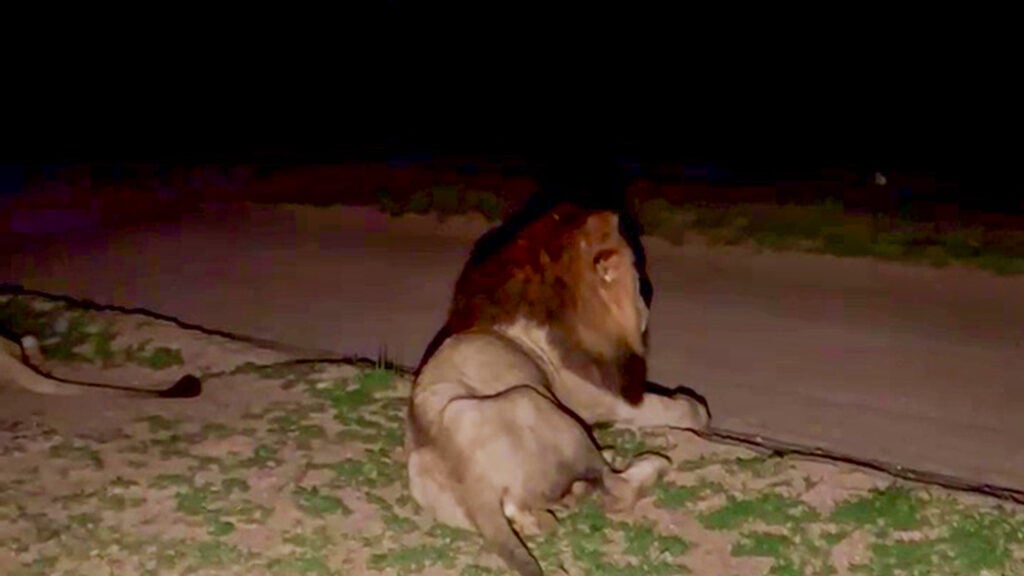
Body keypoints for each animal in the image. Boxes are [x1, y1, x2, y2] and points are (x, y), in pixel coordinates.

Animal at [407, 202, 708, 576]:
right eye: (639, 284)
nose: (647, 302)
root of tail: (475, 486)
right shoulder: (606, 400)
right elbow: (676, 408)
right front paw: (693, 408)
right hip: (533, 402)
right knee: (616, 487)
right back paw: (650, 464)